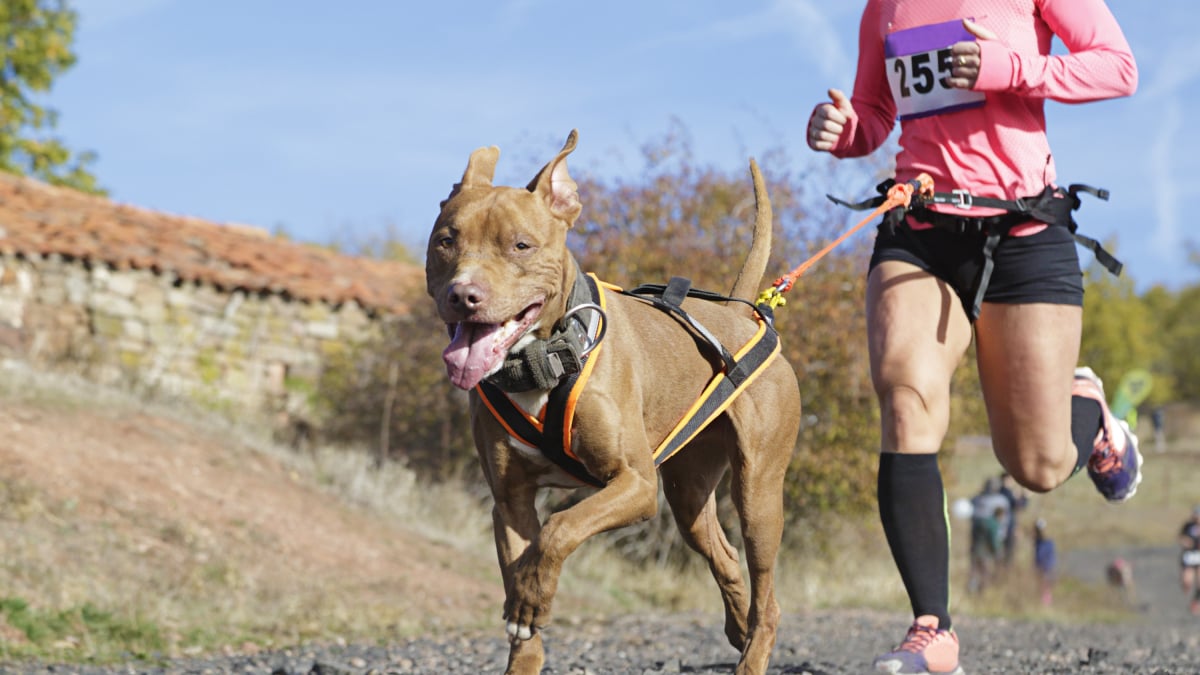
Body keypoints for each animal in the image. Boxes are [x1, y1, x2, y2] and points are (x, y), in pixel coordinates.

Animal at [427, 128, 801, 667]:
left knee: (766, 589)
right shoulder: (509, 501)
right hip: (689, 493)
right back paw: (739, 629)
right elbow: (523, 575)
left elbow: (560, 527)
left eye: (520, 245)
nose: (463, 294)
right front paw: (524, 628)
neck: (544, 357)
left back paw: (753, 653)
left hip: (758, 495)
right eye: (445, 241)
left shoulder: (635, 485)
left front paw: (531, 598)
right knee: (726, 558)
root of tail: (739, 313)